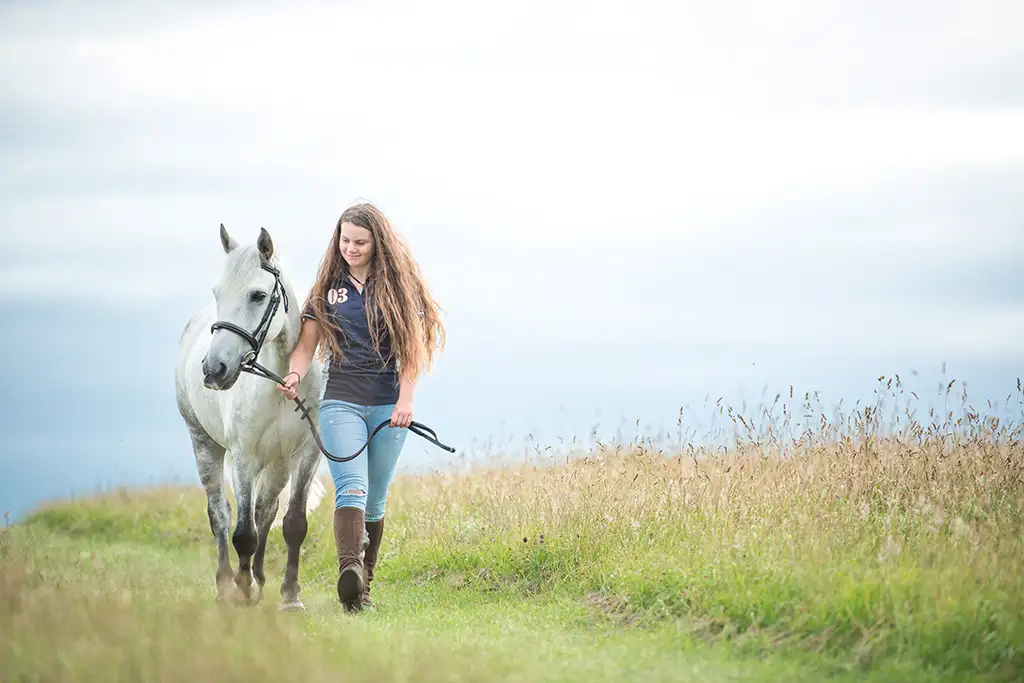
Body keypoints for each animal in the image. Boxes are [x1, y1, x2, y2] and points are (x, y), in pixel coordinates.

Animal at [172, 225, 323, 614]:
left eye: (257, 295)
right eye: (217, 293)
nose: (214, 369)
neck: (282, 377)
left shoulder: (304, 456)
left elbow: (292, 523)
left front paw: (290, 597)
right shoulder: (244, 457)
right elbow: (243, 532)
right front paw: (243, 590)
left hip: (277, 463)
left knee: (265, 511)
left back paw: (259, 579)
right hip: (204, 444)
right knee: (221, 515)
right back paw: (226, 585)